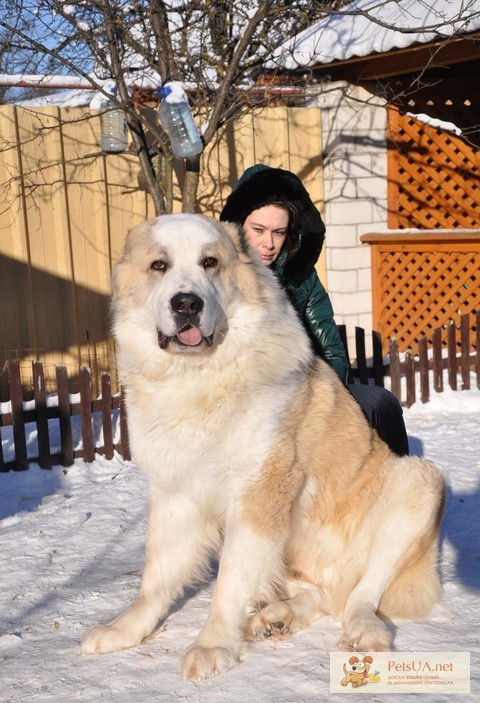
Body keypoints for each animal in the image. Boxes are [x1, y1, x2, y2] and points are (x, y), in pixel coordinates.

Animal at [81, 214, 446, 680]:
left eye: (210, 263)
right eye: (159, 266)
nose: (186, 304)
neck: (200, 379)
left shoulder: (258, 493)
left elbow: (229, 581)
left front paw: (213, 644)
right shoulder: (175, 492)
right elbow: (155, 576)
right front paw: (125, 630)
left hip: (418, 480)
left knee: (361, 594)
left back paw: (363, 631)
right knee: (326, 595)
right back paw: (278, 617)